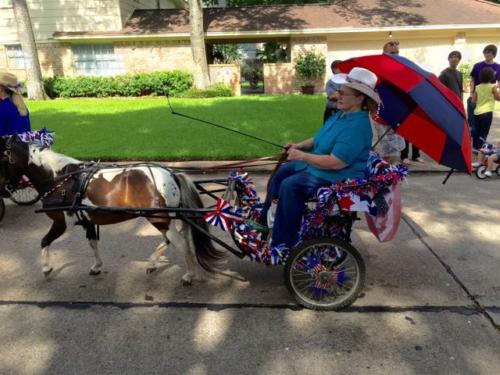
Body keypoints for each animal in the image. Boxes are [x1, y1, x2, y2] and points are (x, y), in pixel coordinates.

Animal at [0, 137, 224, 284]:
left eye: (1, 158)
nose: (3, 189)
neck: (60, 179)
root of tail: (171, 174)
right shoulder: (88, 221)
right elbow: (93, 243)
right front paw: (97, 266)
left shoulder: (60, 222)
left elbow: (44, 241)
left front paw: (46, 268)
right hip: (164, 219)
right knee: (173, 241)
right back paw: (153, 264)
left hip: (159, 219)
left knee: (180, 244)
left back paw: (188, 274)